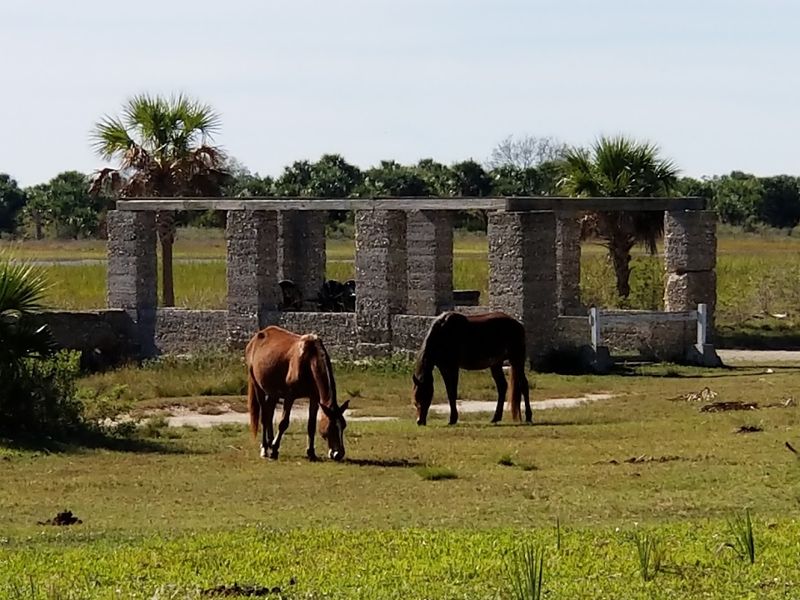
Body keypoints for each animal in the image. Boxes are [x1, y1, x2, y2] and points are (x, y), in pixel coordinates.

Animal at [246, 326, 349, 461]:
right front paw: (274, 450)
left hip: (273, 393)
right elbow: (283, 423)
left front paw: (311, 452)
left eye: (343, 425)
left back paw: (269, 443)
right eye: (330, 427)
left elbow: (311, 425)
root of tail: (255, 338)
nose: (338, 454)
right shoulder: (290, 396)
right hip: (258, 388)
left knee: (269, 416)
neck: (309, 360)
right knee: (264, 417)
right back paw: (265, 448)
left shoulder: (314, 398)